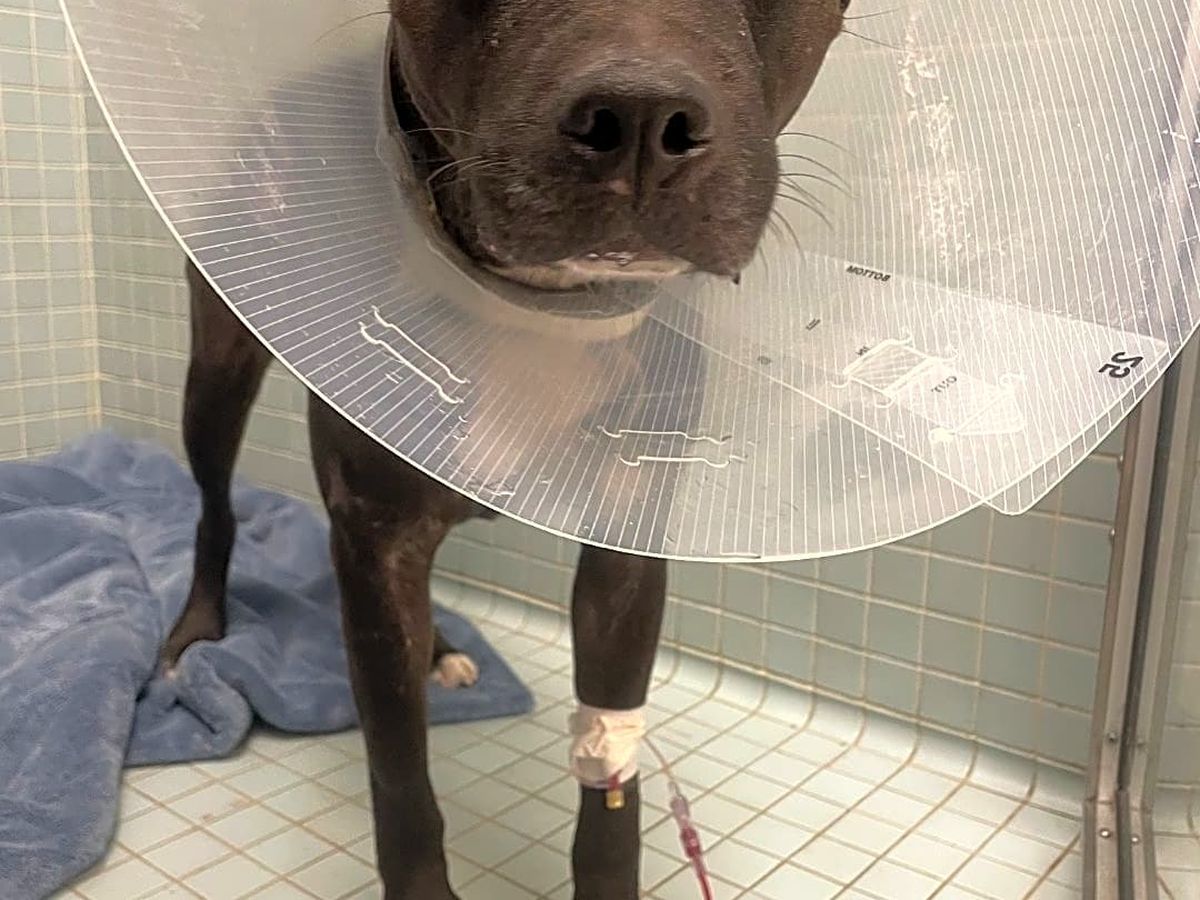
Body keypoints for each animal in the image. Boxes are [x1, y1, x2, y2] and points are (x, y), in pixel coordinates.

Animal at [160, 2, 848, 897]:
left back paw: (441, 650)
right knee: (215, 507)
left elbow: (610, 774)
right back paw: (194, 632)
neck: (541, 310)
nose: (639, 117)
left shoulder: (624, 557)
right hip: (219, 370)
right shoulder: (377, 534)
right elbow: (401, 778)